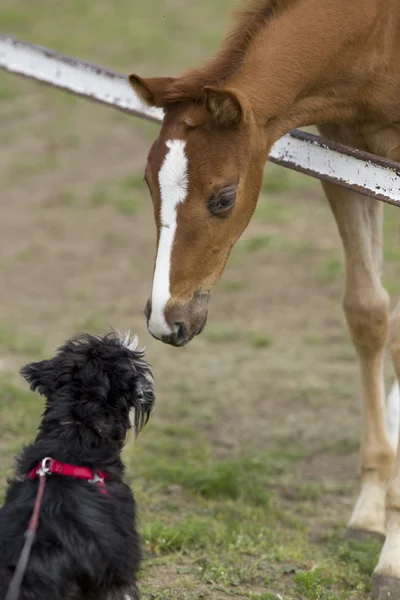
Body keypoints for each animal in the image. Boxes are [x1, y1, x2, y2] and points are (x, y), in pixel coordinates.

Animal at [130, 0, 400, 596]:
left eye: (224, 197)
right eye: (148, 183)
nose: (167, 320)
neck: (377, 30)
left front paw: (394, 558)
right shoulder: (348, 155)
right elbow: (368, 311)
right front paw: (374, 509)